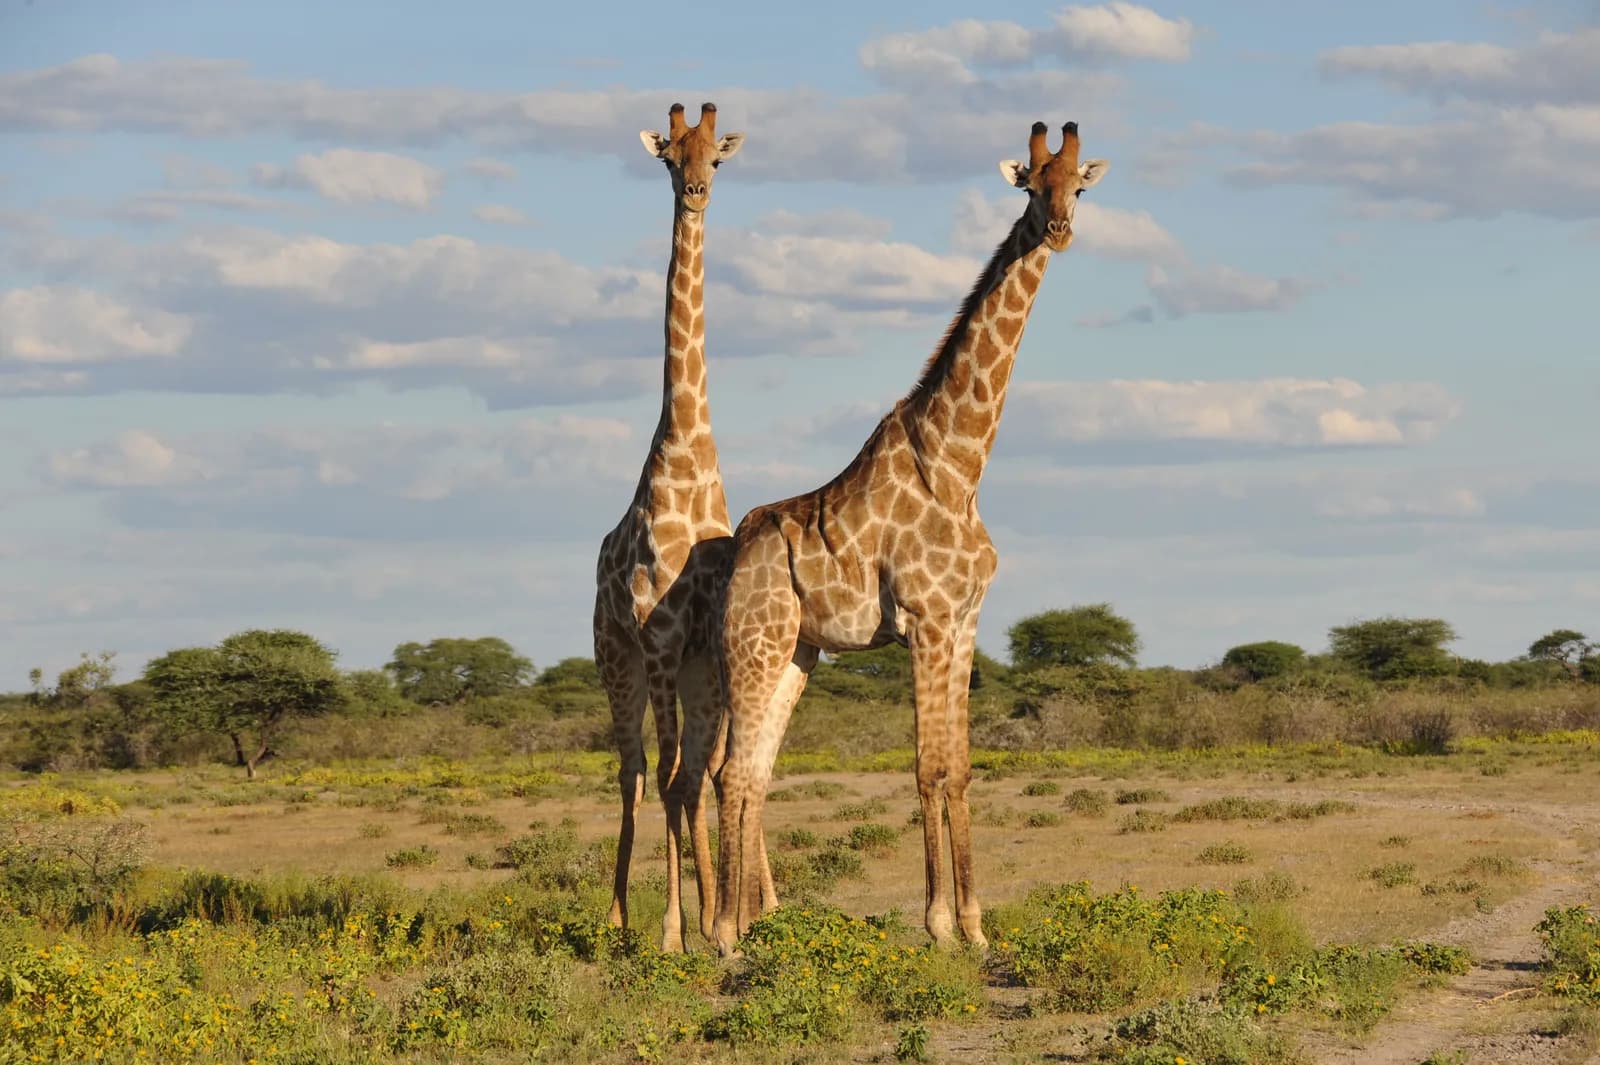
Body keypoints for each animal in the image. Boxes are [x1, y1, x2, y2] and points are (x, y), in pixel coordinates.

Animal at [709, 121, 1108, 956]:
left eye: (1078, 188)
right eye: (1032, 186)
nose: (1058, 230)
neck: (958, 462)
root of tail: (735, 554)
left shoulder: (963, 620)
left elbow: (959, 767)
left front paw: (977, 924)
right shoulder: (924, 619)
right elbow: (926, 767)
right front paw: (938, 924)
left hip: (797, 653)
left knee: (753, 771)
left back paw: (752, 928)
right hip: (754, 645)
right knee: (730, 771)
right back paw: (724, 934)